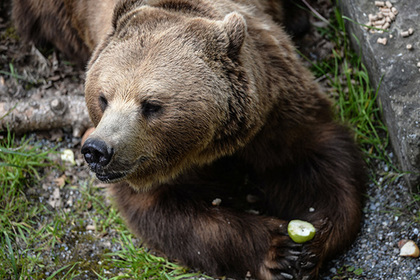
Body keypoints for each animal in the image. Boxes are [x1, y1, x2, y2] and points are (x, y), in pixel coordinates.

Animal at [13, 0, 366, 280]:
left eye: (151, 104)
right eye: (103, 98)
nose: (97, 150)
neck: (203, 148)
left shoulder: (274, 108)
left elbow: (313, 158)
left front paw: (313, 240)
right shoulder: (146, 171)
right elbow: (172, 217)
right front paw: (278, 251)